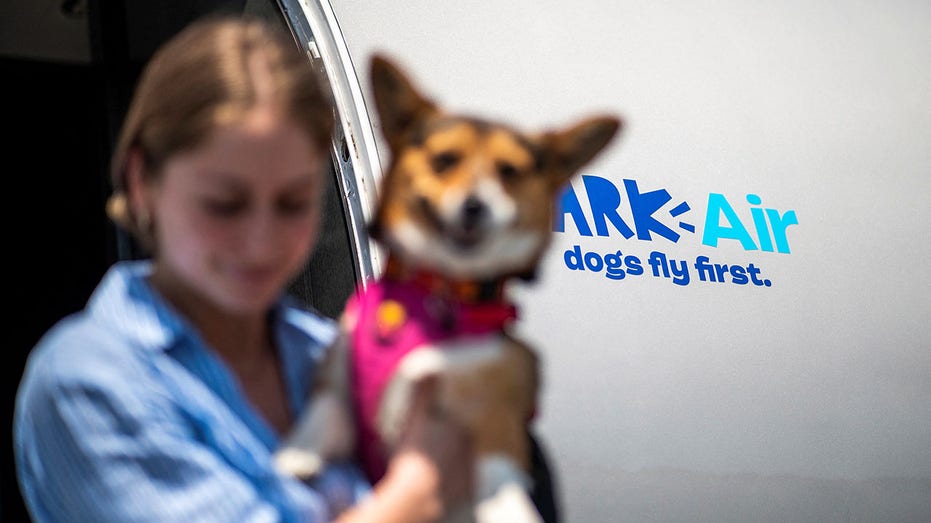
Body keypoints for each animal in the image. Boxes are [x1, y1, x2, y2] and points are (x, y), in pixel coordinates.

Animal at [276, 54, 624, 523]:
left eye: (510, 173)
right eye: (443, 161)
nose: (476, 206)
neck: (437, 296)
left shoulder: (496, 425)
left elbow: (502, 484)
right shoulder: (340, 380)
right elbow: (325, 412)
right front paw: (296, 453)